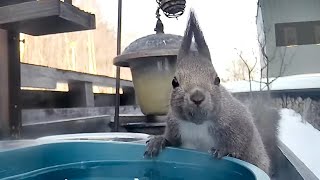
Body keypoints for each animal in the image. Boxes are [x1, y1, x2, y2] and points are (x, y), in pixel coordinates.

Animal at [144, 9, 278, 176]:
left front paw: (224, 150)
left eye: (217, 79)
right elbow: (171, 141)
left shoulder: (238, 120)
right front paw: (159, 141)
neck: (198, 124)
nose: (197, 97)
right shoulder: (174, 126)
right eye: (174, 82)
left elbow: (241, 141)